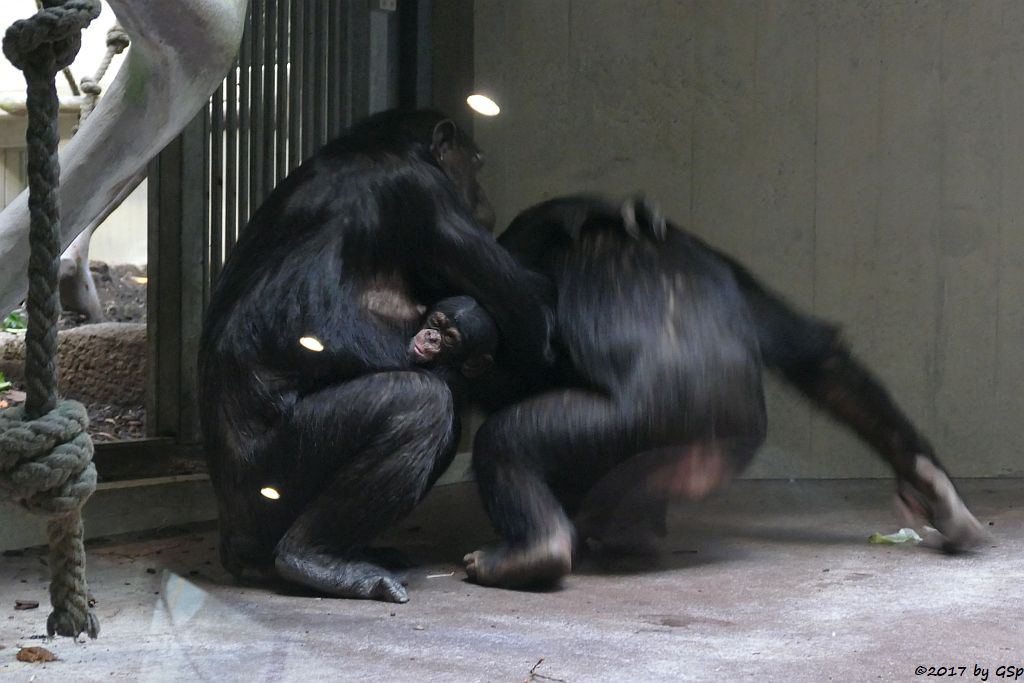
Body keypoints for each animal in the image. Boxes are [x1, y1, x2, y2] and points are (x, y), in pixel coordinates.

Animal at [198, 108, 552, 602]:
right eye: (476, 164)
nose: (483, 198)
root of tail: (230, 537)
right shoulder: (426, 194)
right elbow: (530, 323)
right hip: (271, 478)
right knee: (419, 403)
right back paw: (315, 559)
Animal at [466, 193, 991, 589]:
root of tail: (706, 444)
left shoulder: (528, 242)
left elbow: (525, 354)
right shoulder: (731, 267)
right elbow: (814, 355)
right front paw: (932, 485)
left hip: (608, 429)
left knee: (507, 441)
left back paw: (534, 551)